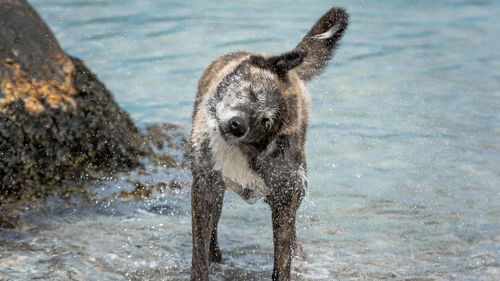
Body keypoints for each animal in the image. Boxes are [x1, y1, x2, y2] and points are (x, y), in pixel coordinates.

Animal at [188, 7, 348, 280]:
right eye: (252, 93)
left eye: (266, 121)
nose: (237, 125)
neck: (239, 149)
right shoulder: (205, 185)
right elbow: (200, 245)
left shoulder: (285, 195)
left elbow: (282, 254)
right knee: (213, 230)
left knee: (292, 234)